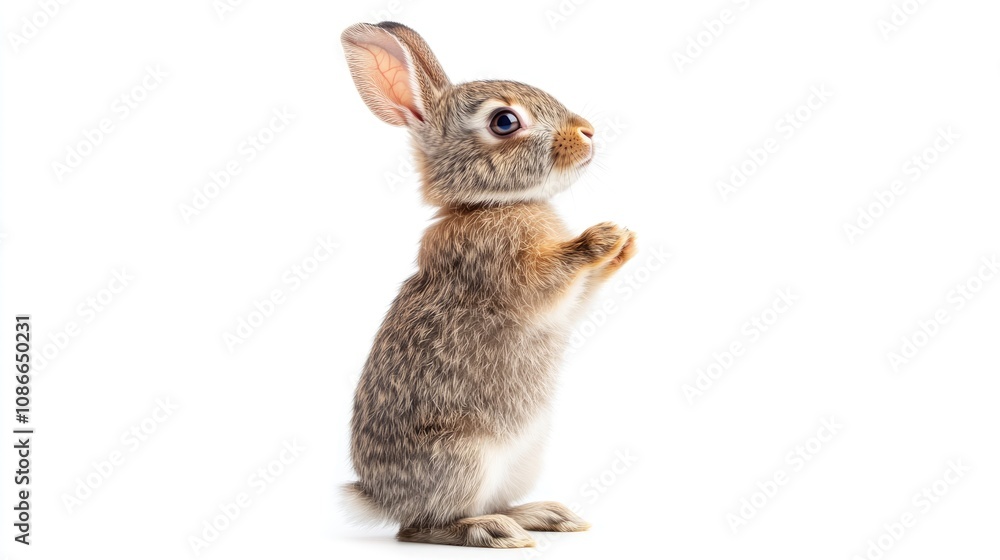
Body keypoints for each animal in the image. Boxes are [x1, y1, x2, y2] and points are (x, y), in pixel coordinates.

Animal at [340, 21, 637, 548]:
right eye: (504, 122)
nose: (587, 132)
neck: (489, 203)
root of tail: (378, 498)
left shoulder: (568, 303)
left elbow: (582, 297)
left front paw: (624, 242)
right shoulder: (501, 272)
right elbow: (551, 279)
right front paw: (600, 237)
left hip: (520, 462)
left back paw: (543, 515)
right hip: (463, 457)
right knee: (420, 527)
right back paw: (493, 531)